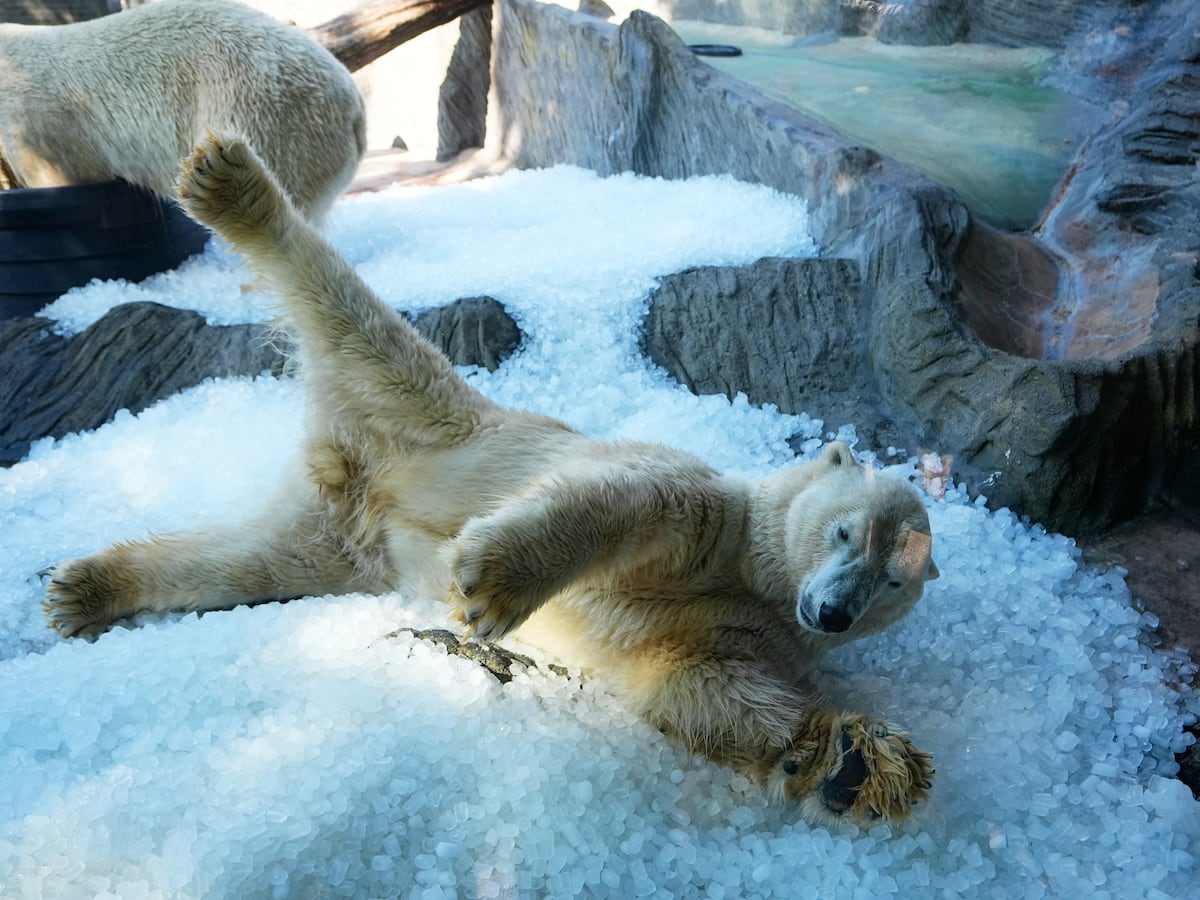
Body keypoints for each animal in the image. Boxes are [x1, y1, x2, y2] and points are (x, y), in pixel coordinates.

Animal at [43, 132, 940, 827]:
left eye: (895, 578)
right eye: (846, 532)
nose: (834, 610)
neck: (754, 574)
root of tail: (352, 468)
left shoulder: (744, 633)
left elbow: (703, 687)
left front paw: (854, 762)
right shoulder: (703, 508)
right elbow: (627, 506)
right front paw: (492, 587)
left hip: (344, 542)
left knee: (246, 562)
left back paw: (87, 587)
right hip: (430, 409)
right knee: (349, 312)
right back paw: (230, 186)